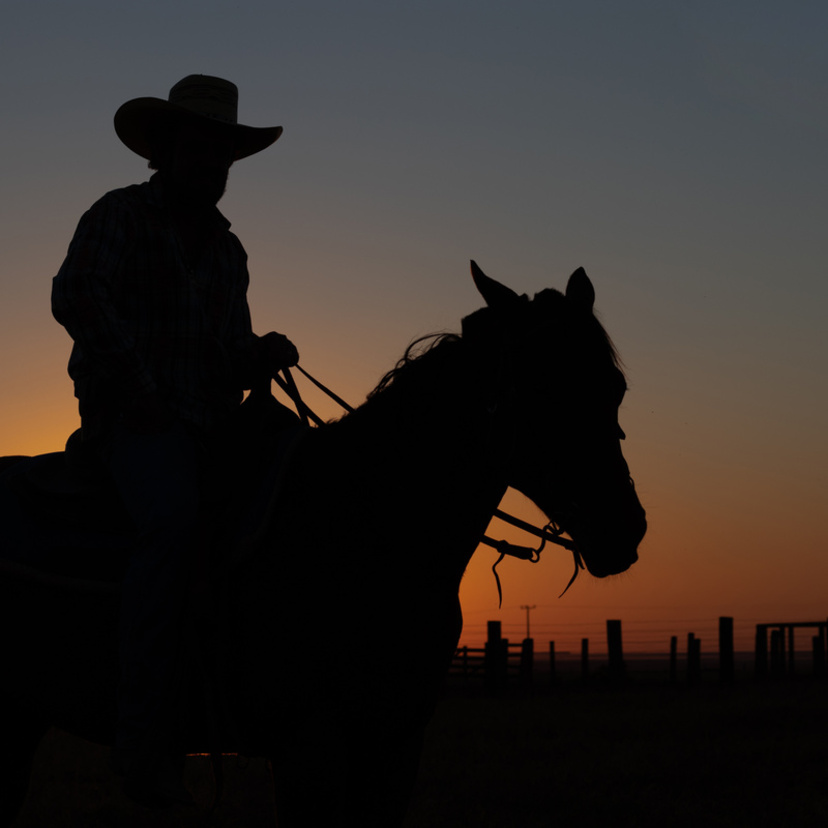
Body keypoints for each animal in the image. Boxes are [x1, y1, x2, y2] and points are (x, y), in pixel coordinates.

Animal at [0, 262, 648, 824]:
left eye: (615, 386)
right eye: (540, 388)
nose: (625, 529)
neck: (367, 525)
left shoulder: (393, 747)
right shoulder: (309, 749)